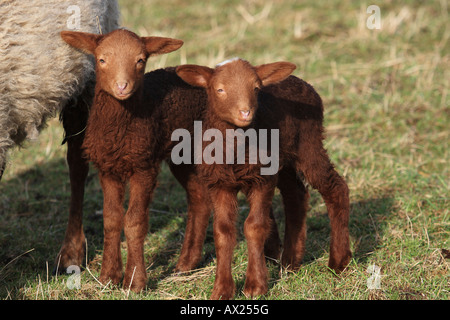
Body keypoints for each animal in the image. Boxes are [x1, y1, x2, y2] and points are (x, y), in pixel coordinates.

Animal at [177, 58, 352, 300]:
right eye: (219, 89)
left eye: (256, 88)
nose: (245, 113)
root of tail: (301, 82)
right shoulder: (220, 183)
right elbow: (222, 231)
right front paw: (221, 290)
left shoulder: (263, 179)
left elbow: (254, 226)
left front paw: (255, 286)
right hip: (284, 158)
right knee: (296, 194)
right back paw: (290, 262)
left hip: (308, 143)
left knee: (335, 188)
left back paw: (339, 261)